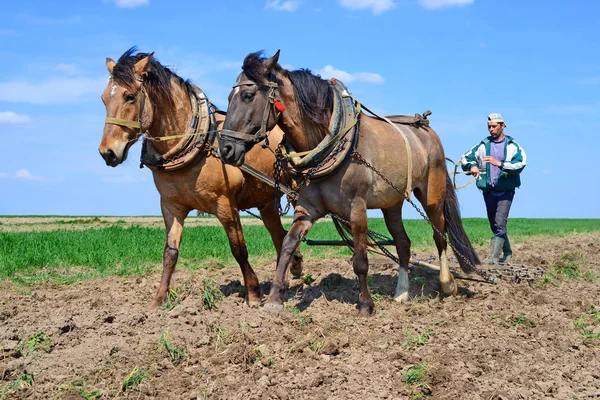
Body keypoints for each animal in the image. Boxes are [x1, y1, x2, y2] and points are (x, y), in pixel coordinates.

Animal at [101, 48, 304, 308]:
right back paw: (289, 275)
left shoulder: (225, 204)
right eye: (104, 99)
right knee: (280, 237)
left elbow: (239, 249)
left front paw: (253, 294)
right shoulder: (171, 206)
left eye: (129, 96)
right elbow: (170, 253)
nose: (107, 152)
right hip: (266, 201)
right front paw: (159, 300)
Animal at [218, 51, 480, 318]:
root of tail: (426, 128)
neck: (327, 143)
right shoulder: (307, 207)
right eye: (229, 97)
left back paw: (447, 284)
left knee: (440, 235)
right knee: (403, 243)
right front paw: (274, 299)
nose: (225, 148)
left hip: (432, 195)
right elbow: (288, 245)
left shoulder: (357, 208)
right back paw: (401, 292)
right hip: (391, 203)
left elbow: (360, 260)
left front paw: (365, 305)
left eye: (248, 95)